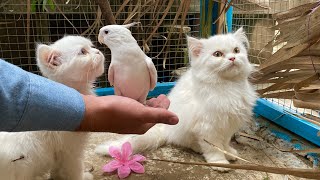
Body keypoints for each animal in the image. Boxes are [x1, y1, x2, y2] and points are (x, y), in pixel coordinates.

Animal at [0, 35, 105, 179]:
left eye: (92, 47)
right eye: (83, 52)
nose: (98, 52)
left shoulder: (59, 154)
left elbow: (57, 171)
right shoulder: (70, 152)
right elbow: (74, 170)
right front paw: (83, 176)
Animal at [95, 27, 258, 172]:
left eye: (236, 50)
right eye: (217, 54)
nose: (232, 58)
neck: (228, 85)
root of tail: (165, 129)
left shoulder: (228, 124)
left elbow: (224, 143)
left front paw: (229, 153)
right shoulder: (209, 127)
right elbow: (214, 148)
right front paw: (220, 163)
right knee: (189, 143)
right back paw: (198, 148)